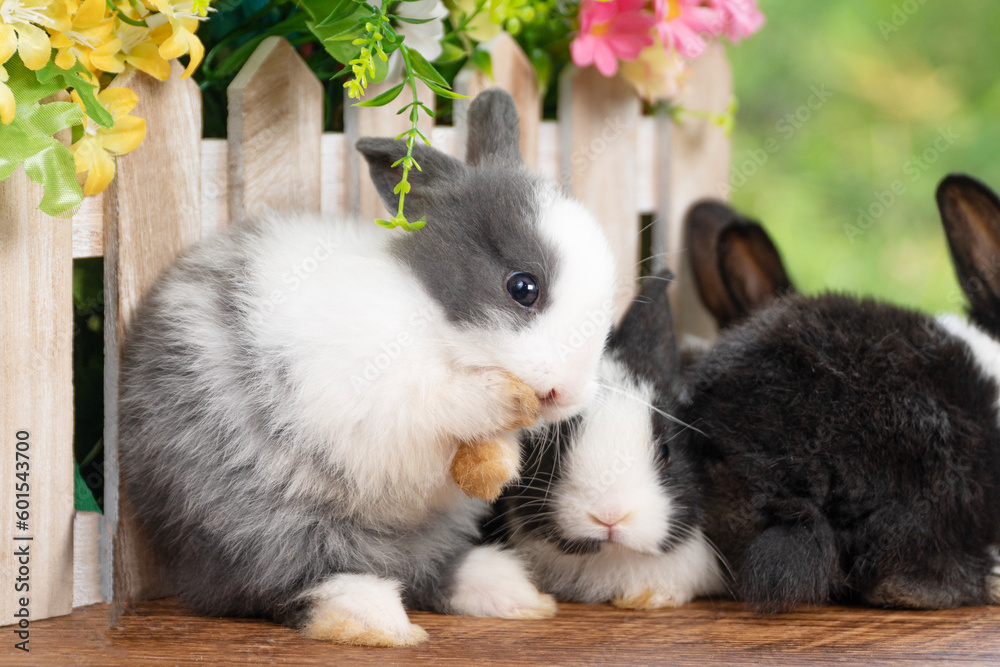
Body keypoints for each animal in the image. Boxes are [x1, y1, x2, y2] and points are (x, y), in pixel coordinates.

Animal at [118, 89, 618, 646]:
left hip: (434, 525)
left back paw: (510, 594)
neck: (432, 321)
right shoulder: (364, 391)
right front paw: (499, 400)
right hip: (259, 525)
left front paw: (497, 463)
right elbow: (436, 405)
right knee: (282, 581)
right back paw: (376, 620)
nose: (566, 393)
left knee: (426, 569)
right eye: (523, 287)